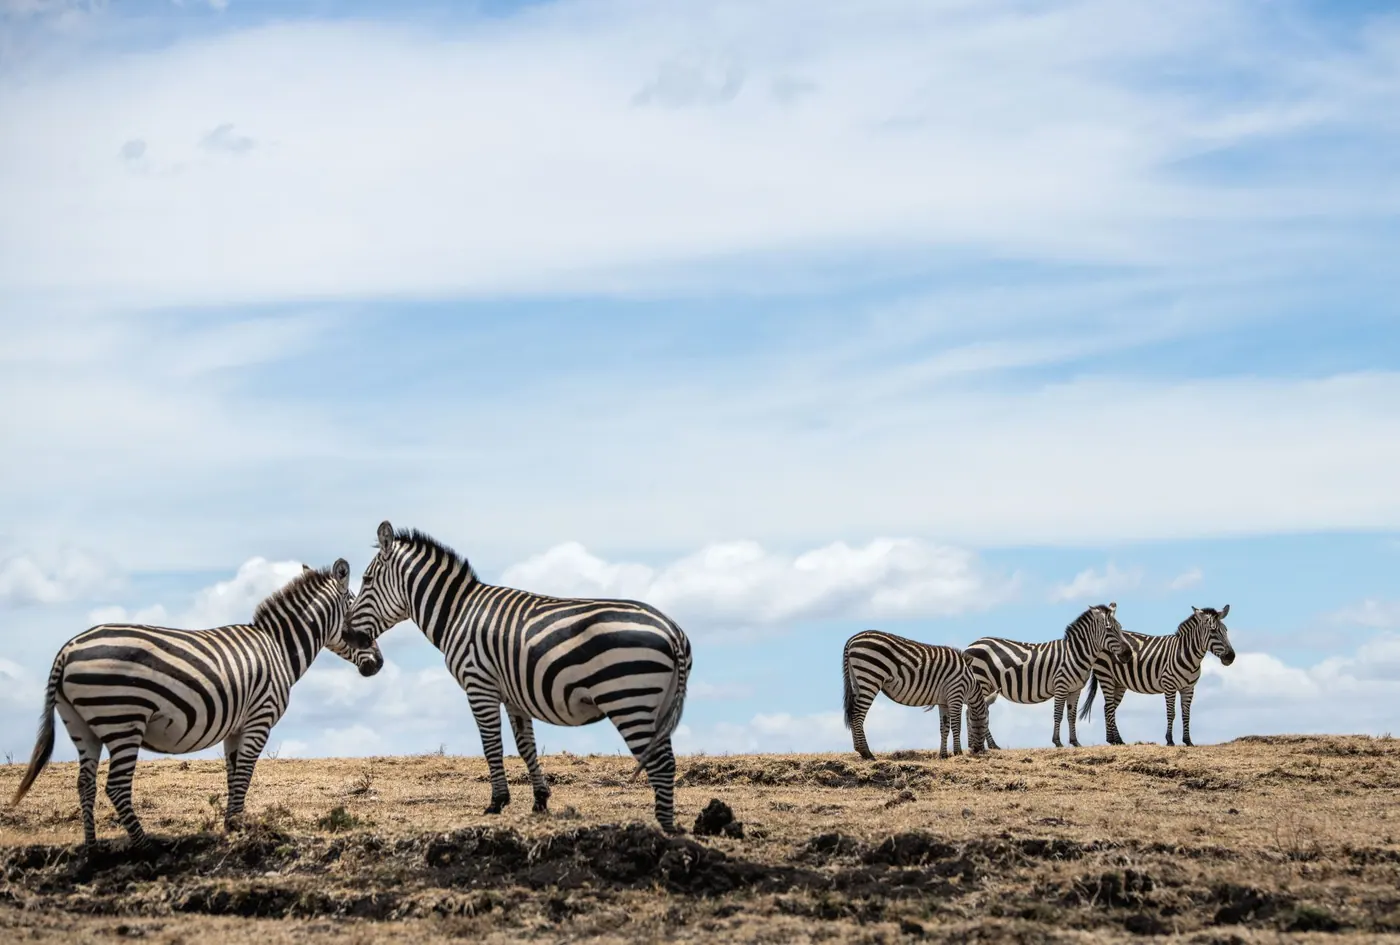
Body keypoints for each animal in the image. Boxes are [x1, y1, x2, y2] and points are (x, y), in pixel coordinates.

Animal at [9, 559, 382, 848]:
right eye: (357, 608)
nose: (378, 664)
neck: (278, 648)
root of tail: (67, 650)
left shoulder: (236, 727)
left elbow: (233, 774)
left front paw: (233, 825)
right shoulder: (259, 719)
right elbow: (245, 773)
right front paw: (240, 829)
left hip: (80, 724)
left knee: (84, 784)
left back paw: (92, 849)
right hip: (124, 719)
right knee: (115, 787)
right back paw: (145, 846)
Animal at [344, 521, 693, 833]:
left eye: (366, 579)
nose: (347, 635)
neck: (457, 613)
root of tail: (672, 631)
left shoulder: (479, 685)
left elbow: (491, 745)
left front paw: (497, 802)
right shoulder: (514, 694)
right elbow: (526, 747)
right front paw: (540, 800)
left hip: (628, 699)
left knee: (661, 763)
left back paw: (664, 827)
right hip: (656, 704)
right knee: (667, 760)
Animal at [842, 630, 988, 760]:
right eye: (985, 724)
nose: (979, 750)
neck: (970, 685)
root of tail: (852, 639)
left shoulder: (943, 701)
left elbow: (944, 728)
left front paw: (943, 755)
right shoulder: (956, 693)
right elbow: (956, 725)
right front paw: (958, 753)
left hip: (857, 681)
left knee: (853, 712)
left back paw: (860, 751)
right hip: (871, 676)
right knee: (858, 714)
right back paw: (866, 753)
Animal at [963, 602, 1130, 750]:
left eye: (1120, 628)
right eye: (1109, 630)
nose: (1127, 654)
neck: (1074, 653)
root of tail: (970, 646)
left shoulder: (1075, 689)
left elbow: (1071, 715)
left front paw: (1075, 742)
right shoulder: (1061, 685)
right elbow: (1058, 714)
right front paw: (1057, 742)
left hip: (988, 685)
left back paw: (978, 745)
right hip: (982, 682)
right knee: (977, 711)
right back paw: (990, 745)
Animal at [1079, 605, 1235, 746]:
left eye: (1226, 630)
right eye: (1213, 631)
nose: (1231, 657)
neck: (1186, 654)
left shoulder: (1189, 688)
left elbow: (1186, 714)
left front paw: (1188, 741)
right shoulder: (1169, 685)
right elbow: (1171, 713)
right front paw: (1170, 740)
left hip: (1119, 682)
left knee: (1108, 707)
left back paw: (1115, 740)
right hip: (1106, 676)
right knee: (1110, 707)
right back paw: (1115, 740)